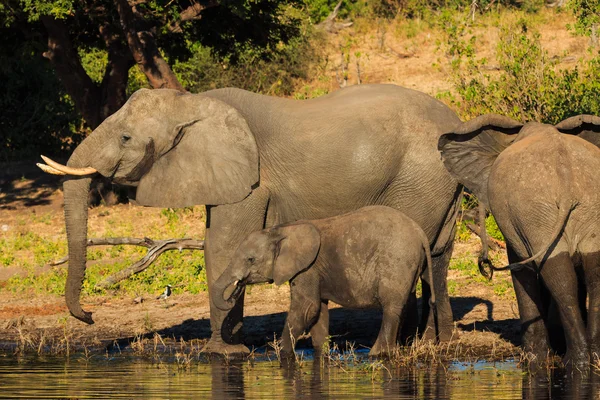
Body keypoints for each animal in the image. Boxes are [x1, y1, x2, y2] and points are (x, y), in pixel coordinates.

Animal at [213, 206, 434, 356]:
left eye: (250, 259)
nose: (235, 292)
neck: (282, 230)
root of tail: (420, 232)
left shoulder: (308, 268)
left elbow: (307, 308)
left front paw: (283, 355)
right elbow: (318, 312)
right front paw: (322, 354)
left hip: (397, 261)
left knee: (391, 309)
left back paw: (377, 355)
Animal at [438, 112, 600, 368]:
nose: (484, 266)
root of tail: (568, 184)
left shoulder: (518, 223)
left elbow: (520, 267)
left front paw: (532, 359)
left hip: (535, 213)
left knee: (561, 279)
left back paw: (576, 363)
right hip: (583, 208)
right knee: (593, 275)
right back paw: (591, 359)